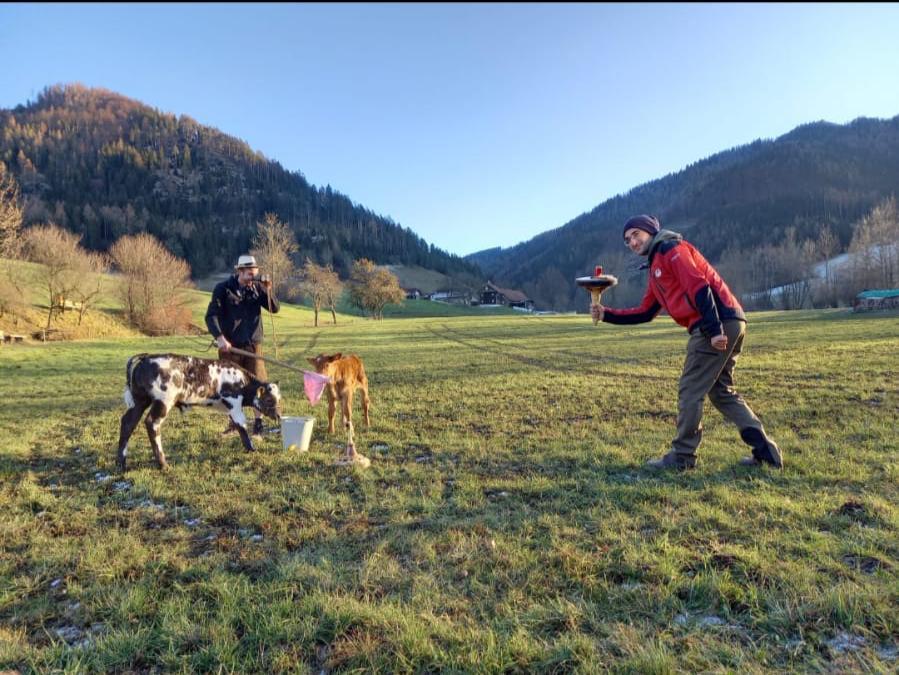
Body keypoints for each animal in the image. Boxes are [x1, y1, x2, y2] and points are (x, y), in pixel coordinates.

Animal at [116, 353, 282, 472]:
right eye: (269, 400)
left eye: (279, 399)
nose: (278, 416)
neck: (242, 382)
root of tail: (146, 358)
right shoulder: (234, 403)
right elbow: (242, 426)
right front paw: (252, 449)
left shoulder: (229, 407)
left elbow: (236, 425)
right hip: (163, 401)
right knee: (151, 423)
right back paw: (163, 464)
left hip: (139, 401)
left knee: (127, 424)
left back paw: (121, 464)